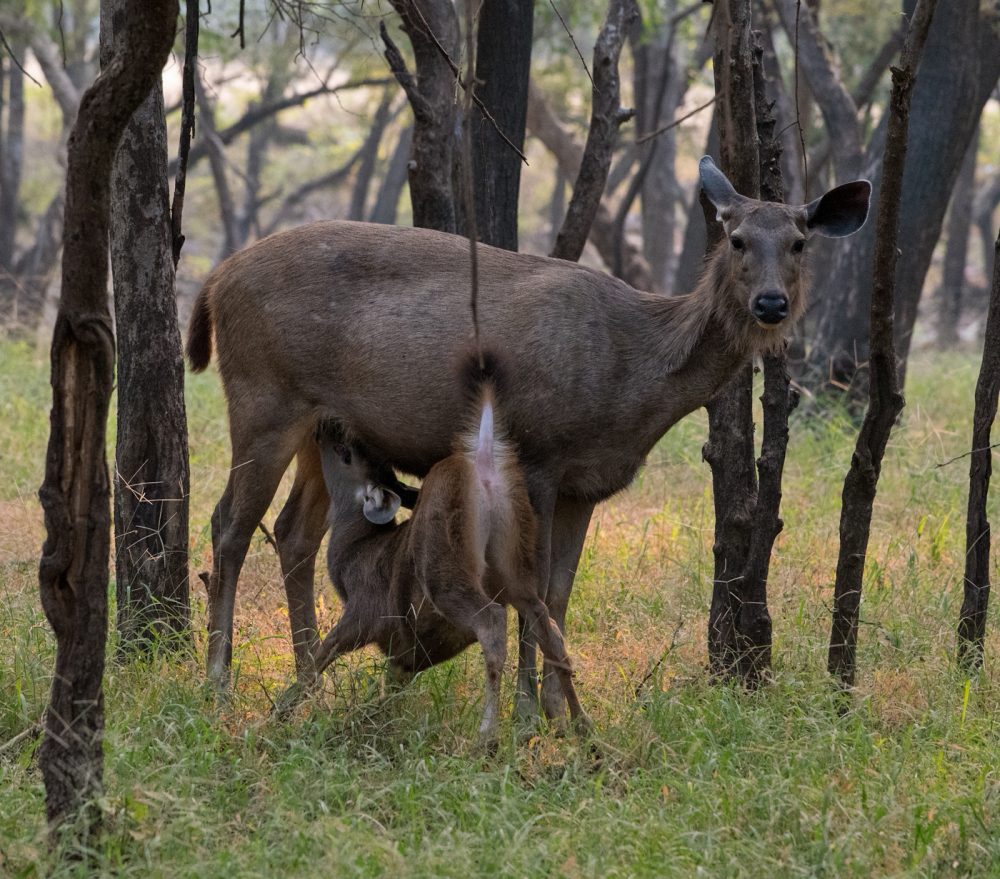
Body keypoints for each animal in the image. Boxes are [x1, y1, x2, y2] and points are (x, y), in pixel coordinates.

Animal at [274, 356, 584, 744]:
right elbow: (389, 688)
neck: (354, 555)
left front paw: (278, 714)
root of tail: (483, 465)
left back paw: (487, 736)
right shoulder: (403, 653)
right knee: (550, 630)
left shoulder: (363, 610)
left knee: (493, 621)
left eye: (347, 454)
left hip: (446, 570)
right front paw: (373, 723)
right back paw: (585, 730)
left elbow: (320, 656)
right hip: (516, 560)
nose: (327, 425)